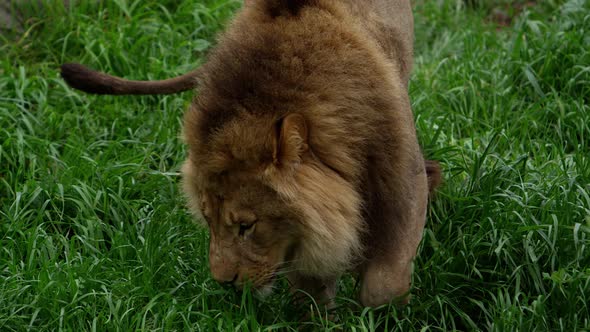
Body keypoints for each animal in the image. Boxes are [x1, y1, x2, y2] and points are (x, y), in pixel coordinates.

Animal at [63, 0, 444, 310]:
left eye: (247, 225)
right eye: (207, 220)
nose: (224, 282)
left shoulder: (402, 186)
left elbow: (384, 284)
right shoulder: (309, 229)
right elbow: (312, 289)